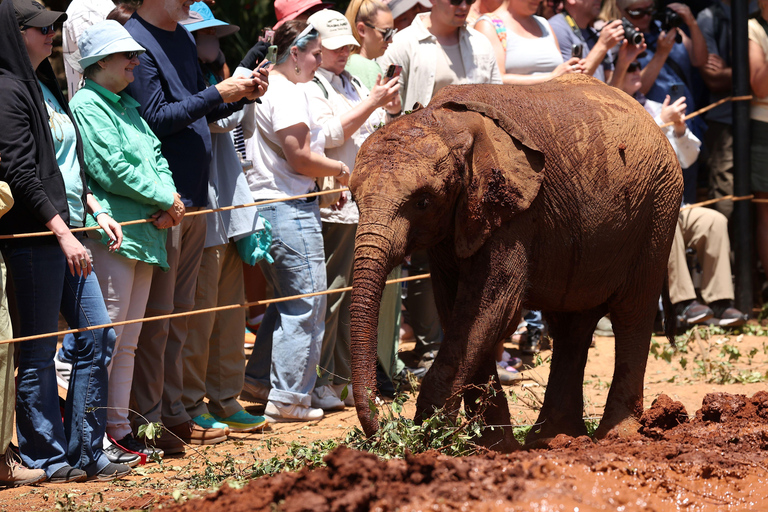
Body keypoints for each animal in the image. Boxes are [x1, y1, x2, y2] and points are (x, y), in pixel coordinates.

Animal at [350, 74, 684, 450]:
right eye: (352, 198)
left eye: (422, 202)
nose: (380, 432)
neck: (449, 121)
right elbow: (456, 310)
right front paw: (491, 447)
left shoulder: (514, 216)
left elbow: (490, 308)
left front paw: (430, 440)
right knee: (572, 325)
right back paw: (554, 437)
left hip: (658, 205)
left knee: (632, 312)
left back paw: (616, 434)